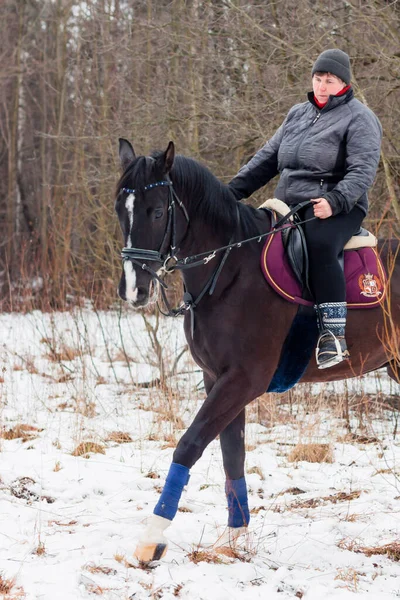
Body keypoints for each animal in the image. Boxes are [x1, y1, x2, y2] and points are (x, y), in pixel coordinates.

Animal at [114, 138, 398, 560]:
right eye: (120, 209)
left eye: (159, 211)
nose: (134, 289)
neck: (230, 272)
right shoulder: (217, 377)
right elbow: (232, 453)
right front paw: (236, 537)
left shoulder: (243, 380)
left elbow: (189, 445)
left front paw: (151, 538)